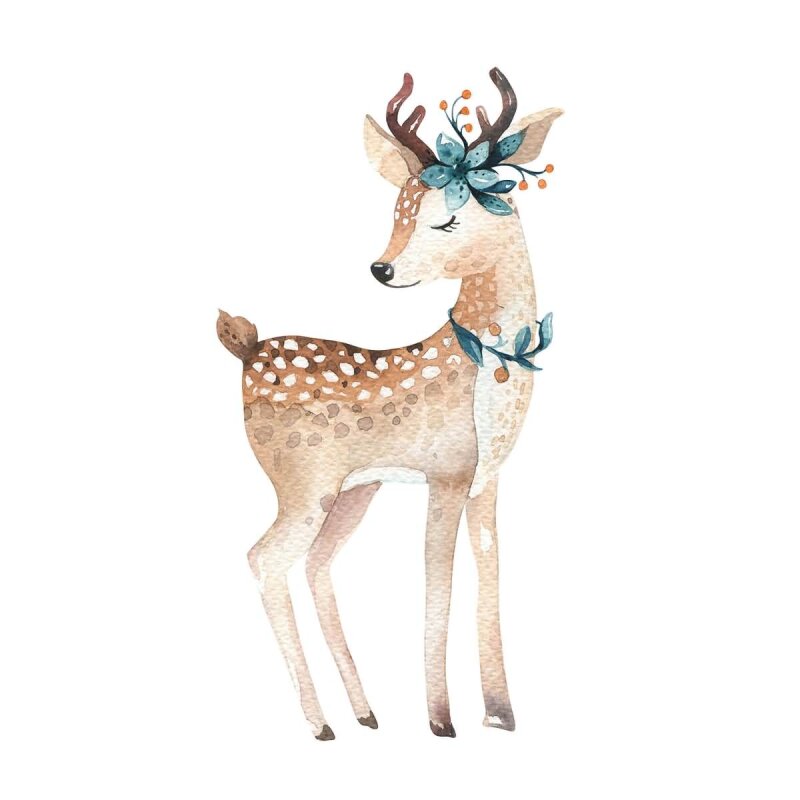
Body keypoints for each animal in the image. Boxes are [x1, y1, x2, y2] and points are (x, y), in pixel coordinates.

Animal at [217, 67, 562, 740]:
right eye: (397, 210)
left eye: (446, 221)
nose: (381, 268)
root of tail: (243, 348)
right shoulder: (447, 471)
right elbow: (437, 580)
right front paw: (441, 720)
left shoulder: (485, 481)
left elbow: (490, 568)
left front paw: (501, 714)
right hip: (303, 482)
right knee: (263, 558)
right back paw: (320, 724)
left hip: (355, 489)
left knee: (316, 564)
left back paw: (365, 712)